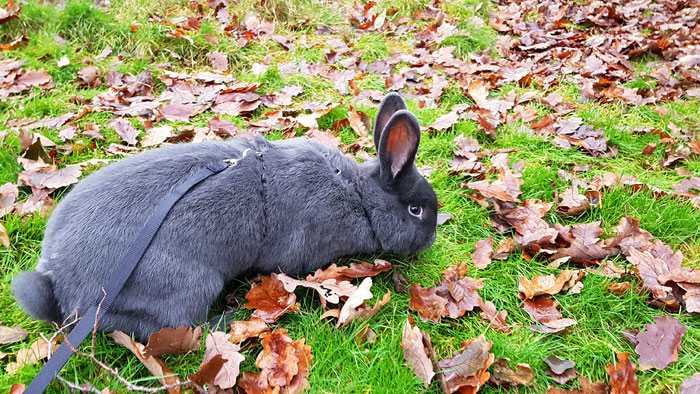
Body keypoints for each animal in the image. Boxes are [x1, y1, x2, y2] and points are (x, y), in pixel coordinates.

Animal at [10, 91, 438, 338]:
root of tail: (60, 288)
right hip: (189, 283)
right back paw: (226, 321)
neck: (358, 196)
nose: (431, 241)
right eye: (416, 209)